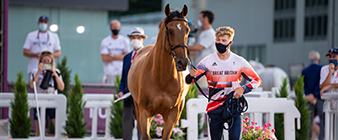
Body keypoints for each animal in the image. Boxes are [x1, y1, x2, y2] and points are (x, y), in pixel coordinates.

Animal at [127, 3, 190, 140]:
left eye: (187, 30)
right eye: (170, 31)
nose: (182, 62)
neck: (161, 78)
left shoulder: (173, 115)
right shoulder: (144, 113)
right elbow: (145, 136)